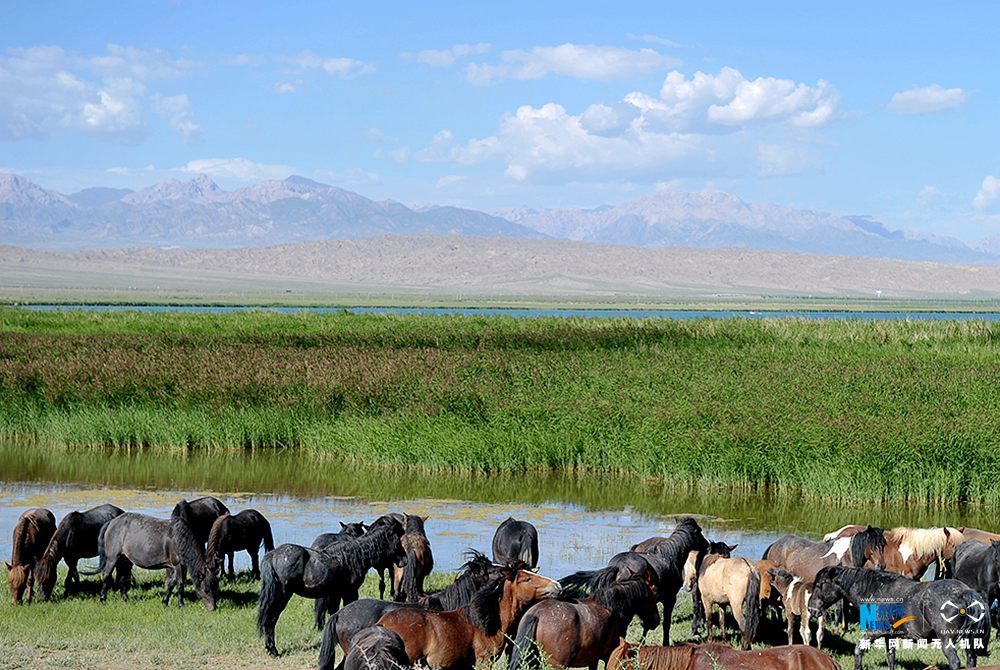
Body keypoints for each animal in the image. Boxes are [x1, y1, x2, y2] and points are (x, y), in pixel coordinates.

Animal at [258, 520, 406, 656]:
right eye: (397, 541)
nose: (404, 560)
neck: (355, 556)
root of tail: (272, 555)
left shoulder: (335, 594)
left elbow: (333, 612)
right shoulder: (350, 593)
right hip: (282, 596)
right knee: (271, 620)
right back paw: (273, 650)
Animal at [508, 576, 664, 670]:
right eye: (654, 595)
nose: (656, 621)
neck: (611, 608)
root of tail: (537, 614)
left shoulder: (593, 659)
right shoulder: (608, 656)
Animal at [808, 568, 988, 670]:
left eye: (820, 585)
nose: (811, 609)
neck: (875, 590)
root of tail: (964, 592)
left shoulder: (875, 632)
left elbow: (859, 649)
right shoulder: (889, 635)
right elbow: (890, 658)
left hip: (946, 640)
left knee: (955, 662)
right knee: (971, 660)